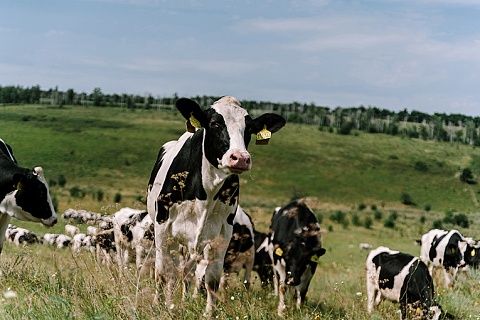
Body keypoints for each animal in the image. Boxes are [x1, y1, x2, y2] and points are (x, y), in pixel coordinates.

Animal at [144, 96, 284, 314]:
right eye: (215, 124)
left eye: (249, 129)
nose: (240, 158)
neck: (206, 193)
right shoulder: (163, 228)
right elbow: (164, 272)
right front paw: (163, 307)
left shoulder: (221, 235)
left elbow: (212, 279)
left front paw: (209, 313)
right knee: (171, 270)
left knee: (187, 270)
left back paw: (185, 298)